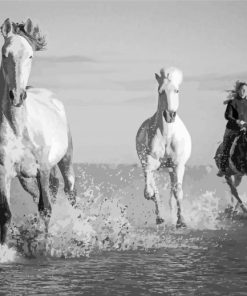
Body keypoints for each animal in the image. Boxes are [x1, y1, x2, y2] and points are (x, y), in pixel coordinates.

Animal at [0, 19, 76, 245]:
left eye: (30, 56)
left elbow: (46, 209)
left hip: (64, 160)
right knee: (47, 191)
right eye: (5, 54)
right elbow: (5, 213)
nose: (16, 95)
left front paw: (45, 243)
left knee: (69, 190)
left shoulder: (42, 166)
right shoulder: (5, 170)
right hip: (26, 178)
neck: (19, 129)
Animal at [136, 67, 192, 228]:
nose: (169, 115)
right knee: (155, 190)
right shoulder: (150, 163)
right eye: (160, 91)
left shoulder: (178, 165)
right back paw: (160, 218)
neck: (167, 137)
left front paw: (181, 221)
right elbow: (151, 191)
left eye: (177, 90)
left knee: (173, 193)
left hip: (172, 169)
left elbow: (178, 192)